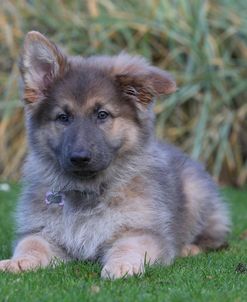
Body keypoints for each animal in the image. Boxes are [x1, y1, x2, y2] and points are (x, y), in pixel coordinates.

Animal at [0, 30, 232, 278]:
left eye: (102, 114)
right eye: (63, 117)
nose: (79, 158)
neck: (88, 191)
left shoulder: (141, 231)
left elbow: (129, 246)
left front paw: (122, 265)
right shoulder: (43, 231)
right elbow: (31, 244)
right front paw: (18, 261)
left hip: (196, 194)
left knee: (213, 237)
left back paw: (190, 248)